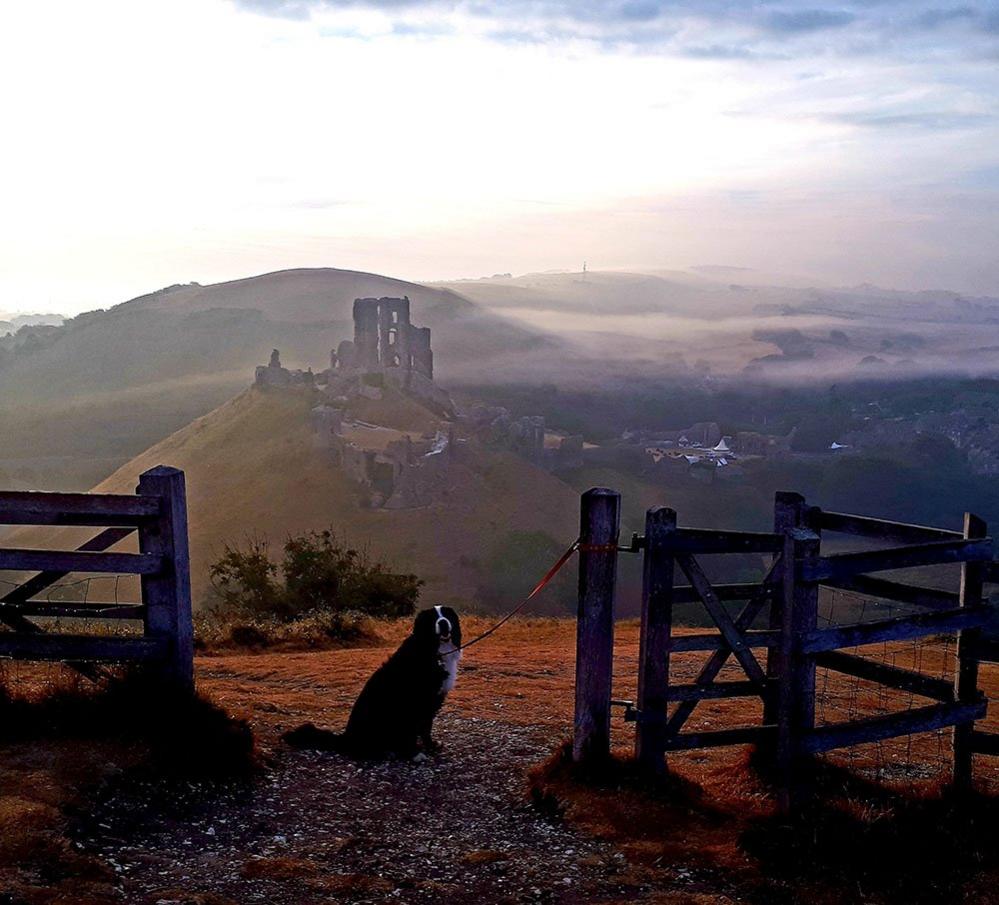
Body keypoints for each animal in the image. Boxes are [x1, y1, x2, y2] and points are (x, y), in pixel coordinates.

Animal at [284, 604, 462, 760]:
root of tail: (346, 739)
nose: (443, 623)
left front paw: (430, 745)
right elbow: (413, 730)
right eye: (433, 618)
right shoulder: (413, 703)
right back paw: (384, 753)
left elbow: (426, 727)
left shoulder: (433, 699)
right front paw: (413, 753)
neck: (435, 650)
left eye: (447, 615)